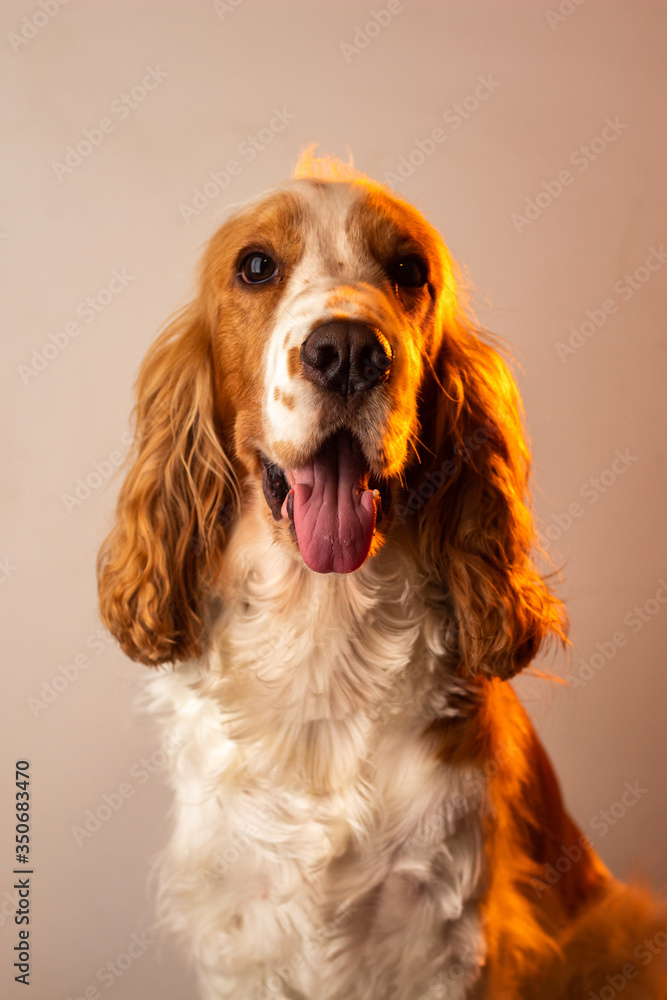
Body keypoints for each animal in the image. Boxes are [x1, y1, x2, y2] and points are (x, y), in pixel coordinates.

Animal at [98, 151, 666, 999]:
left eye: (408, 271)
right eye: (255, 266)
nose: (347, 351)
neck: (322, 634)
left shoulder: (446, 941)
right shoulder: (242, 935)